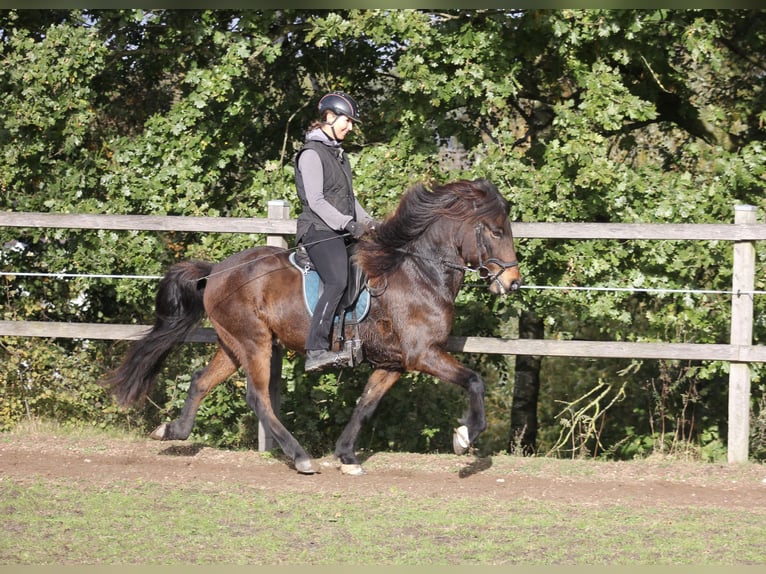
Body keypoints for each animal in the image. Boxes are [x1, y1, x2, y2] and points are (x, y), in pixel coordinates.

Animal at [102, 180, 520, 476]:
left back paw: (173, 431)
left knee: (201, 381)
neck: (419, 273)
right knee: (258, 398)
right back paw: (300, 456)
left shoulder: (394, 363)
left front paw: (347, 454)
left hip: (233, 344)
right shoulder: (423, 354)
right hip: (255, 343)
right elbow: (474, 381)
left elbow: (366, 405)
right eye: (496, 232)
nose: (512, 282)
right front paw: (465, 437)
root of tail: (215, 271)